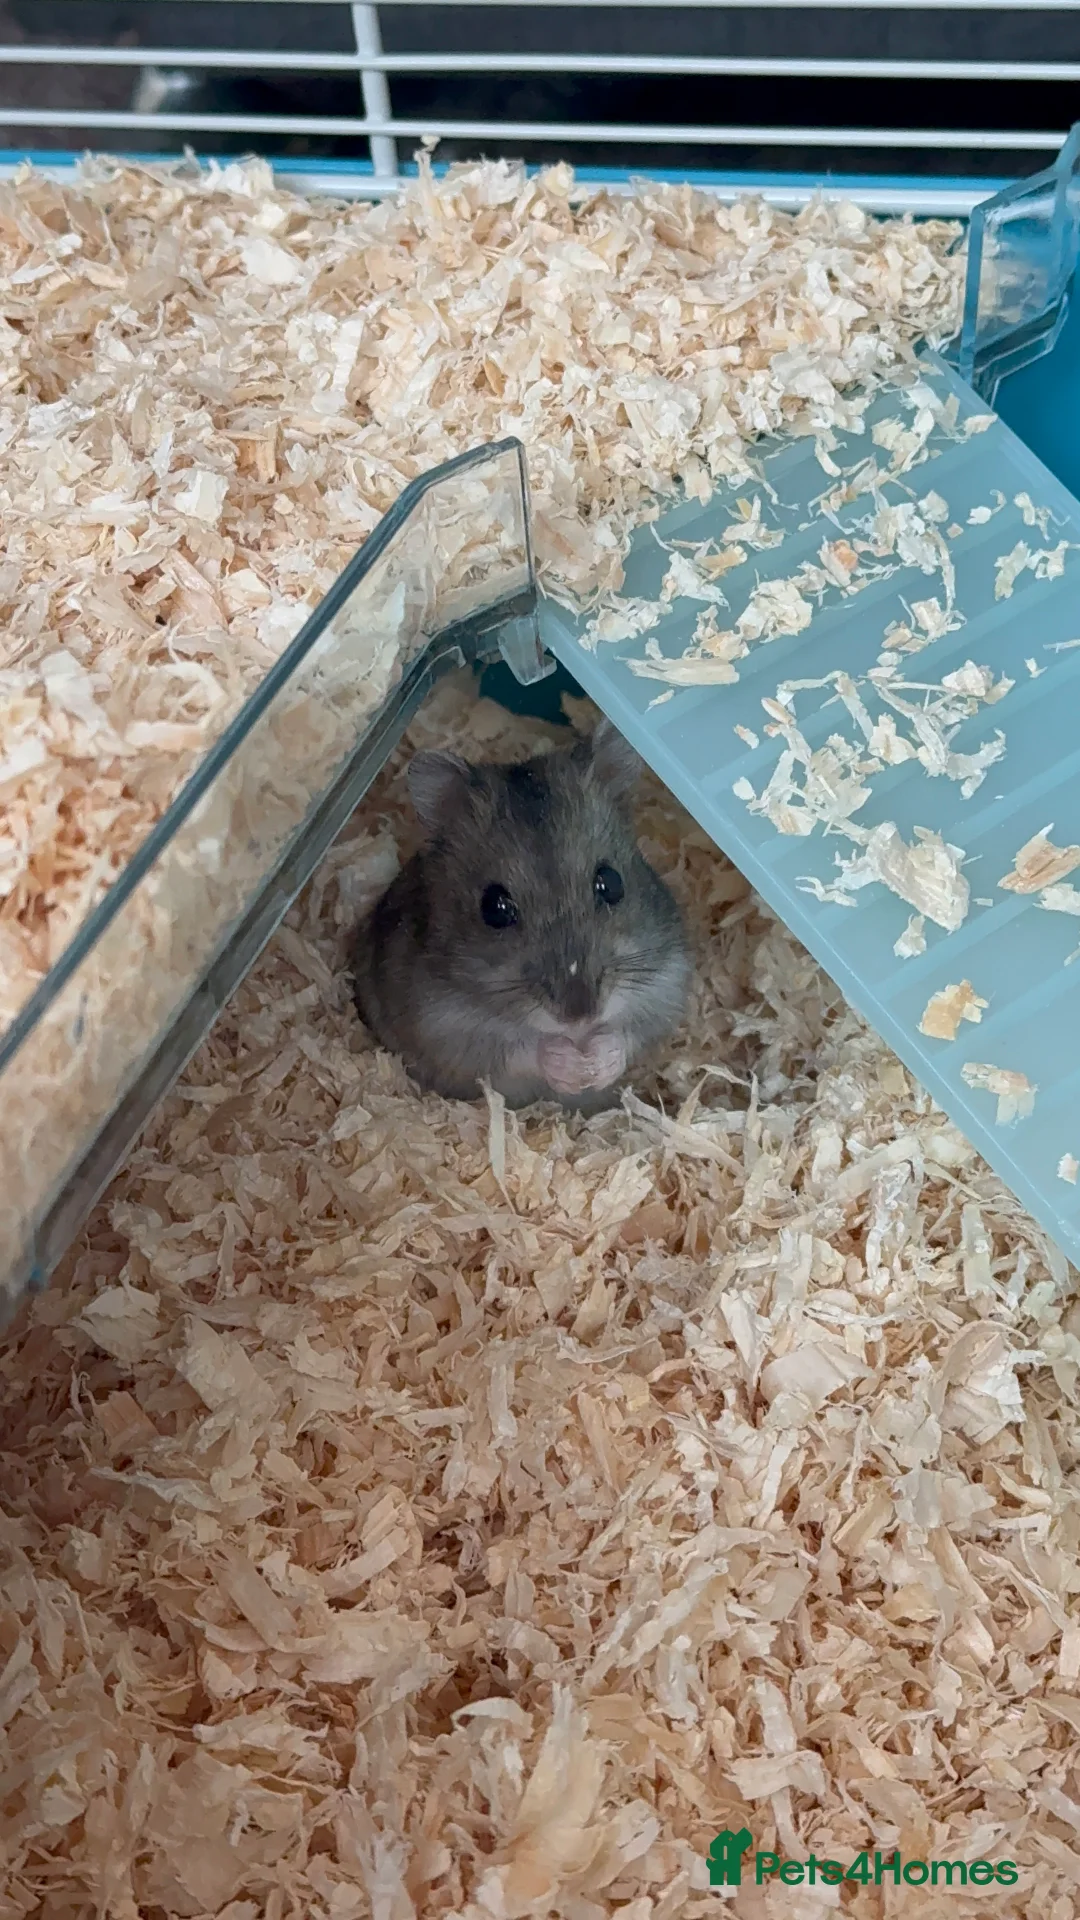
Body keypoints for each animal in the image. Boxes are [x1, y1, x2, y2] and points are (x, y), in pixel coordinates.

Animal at [350, 719, 691, 1108]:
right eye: (494, 908)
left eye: (612, 882)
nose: (581, 1017)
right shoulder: (447, 1026)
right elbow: (523, 1050)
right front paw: (571, 1067)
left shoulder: (666, 982)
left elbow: (629, 1036)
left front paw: (595, 1063)